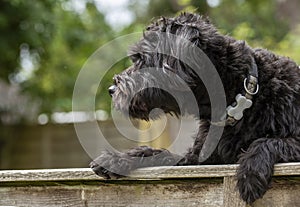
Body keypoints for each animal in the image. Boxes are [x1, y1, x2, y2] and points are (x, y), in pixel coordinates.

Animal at [90, 12, 300, 204]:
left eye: (142, 59)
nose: (111, 90)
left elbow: (268, 141)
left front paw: (251, 173)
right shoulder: (196, 161)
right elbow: (159, 153)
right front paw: (116, 159)